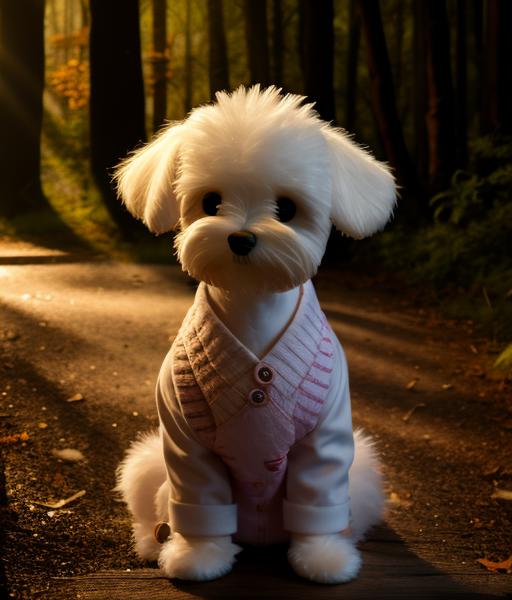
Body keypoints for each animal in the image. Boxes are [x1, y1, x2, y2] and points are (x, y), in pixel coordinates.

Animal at [115, 86, 396, 584]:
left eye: (287, 209)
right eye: (210, 202)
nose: (241, 238)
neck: (253, 311)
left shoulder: (324, 439)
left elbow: (317, 498)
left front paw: (323, 558)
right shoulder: (185, 442)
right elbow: (201, 502)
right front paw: (199, 557)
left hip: (360, 470)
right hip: (148, 466)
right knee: (154, 509)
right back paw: (155, 542)